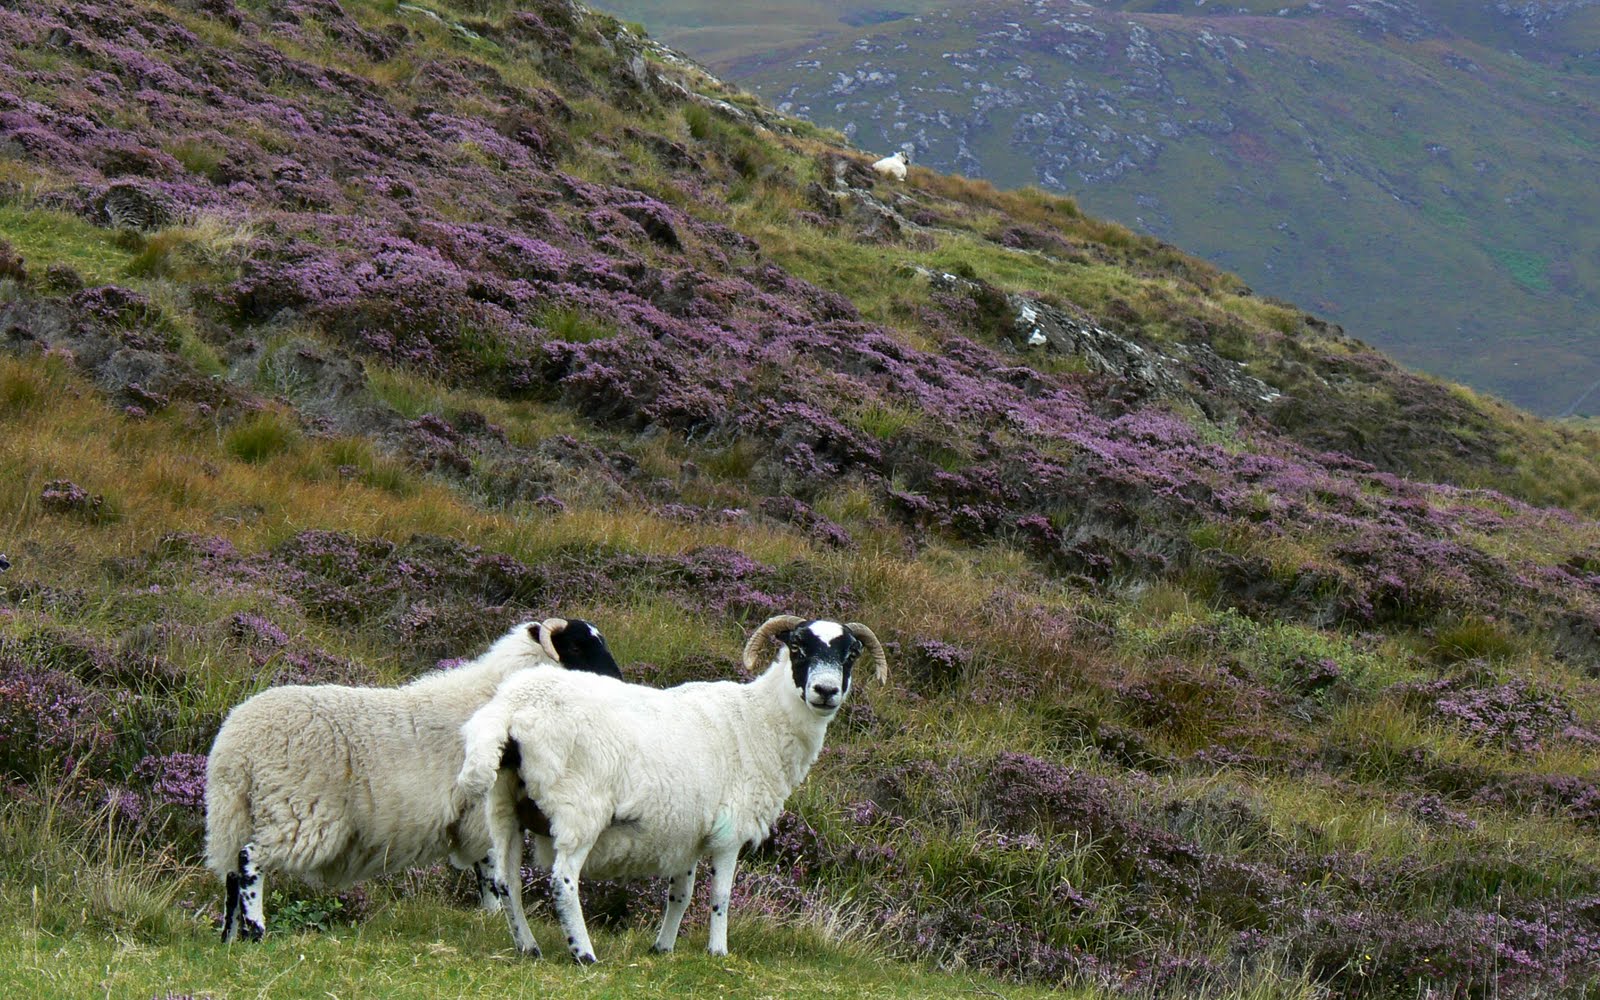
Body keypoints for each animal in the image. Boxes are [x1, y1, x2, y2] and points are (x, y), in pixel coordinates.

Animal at [206, 611, 617, 940]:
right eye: (577, 645)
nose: (619, 679)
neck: (495, 693)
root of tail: (234, 747)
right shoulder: (480, 810)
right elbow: (490, 870)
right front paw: (494, 915)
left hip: (239, 811)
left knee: (230, 873)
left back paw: (230, 938)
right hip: (298, 811)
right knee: (249, 861)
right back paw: (257, 931)